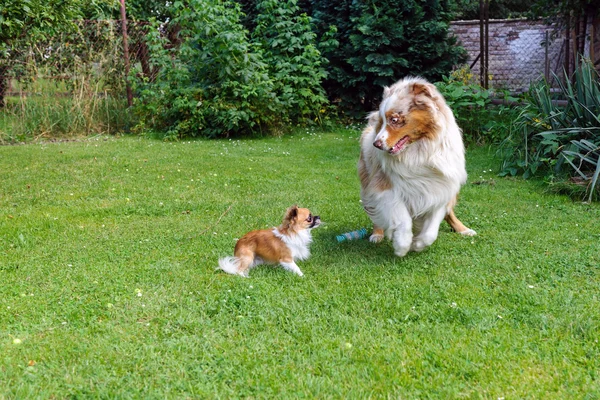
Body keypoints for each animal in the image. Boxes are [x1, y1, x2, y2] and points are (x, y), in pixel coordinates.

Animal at [358, 76, 476, 256]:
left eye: (394, 119)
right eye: (382, 121)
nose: (376, 144)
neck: (419, 152)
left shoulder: (441, 186)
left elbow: (431, 231)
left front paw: (418, 244)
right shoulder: (385, 187)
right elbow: (402, 218)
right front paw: (402, 245)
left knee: (449, 212)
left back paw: (463, 229)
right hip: (368, 181)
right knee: (376, 211)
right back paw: (377, 234)